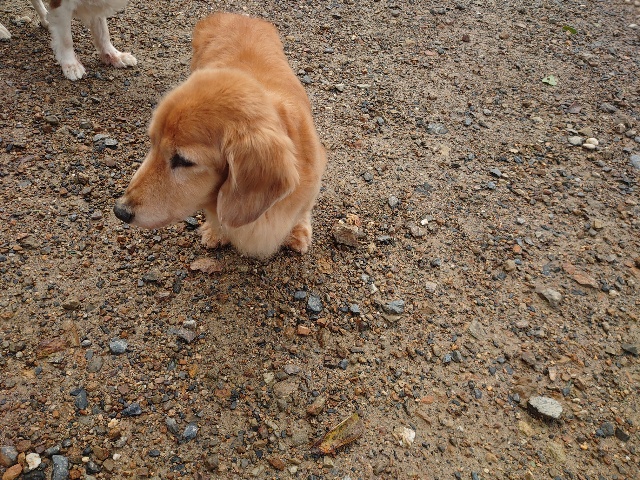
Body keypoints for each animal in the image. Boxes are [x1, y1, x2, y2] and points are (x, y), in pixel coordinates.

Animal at [0, 0, 136, 80]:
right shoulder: (61, 5)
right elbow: (66, 40)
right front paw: (71, 64)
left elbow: (103, 32)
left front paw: (114, 55)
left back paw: (46, 19)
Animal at [114, 13, 327, 259]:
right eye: (152, 144)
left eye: (183, 160)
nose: (120, 211)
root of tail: (235, 15)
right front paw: (216, 232)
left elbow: (302, 212)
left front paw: (298, 231)